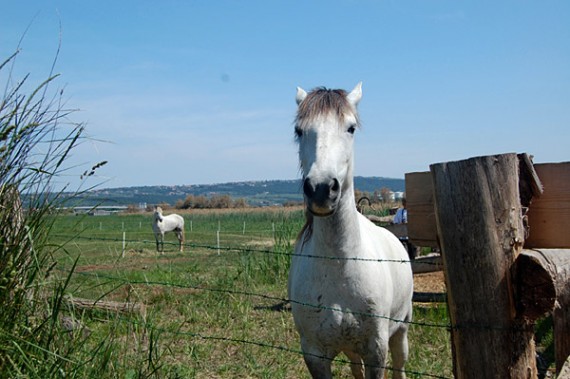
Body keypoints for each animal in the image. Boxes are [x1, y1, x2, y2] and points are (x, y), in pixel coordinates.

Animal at [288, 83, 412, 379]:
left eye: (351, 128)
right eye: (299, 131)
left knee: (400, 365)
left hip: (401, 329)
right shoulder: (315, 355)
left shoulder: (376, 350)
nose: (321, 189)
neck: (339, 264)